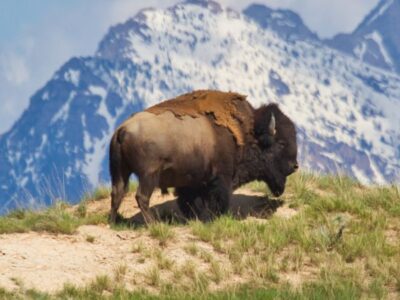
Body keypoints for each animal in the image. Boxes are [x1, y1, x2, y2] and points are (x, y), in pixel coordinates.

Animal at [108, 90, 296, 224]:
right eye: (281, 143)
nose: (294, 166)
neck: (246, 133)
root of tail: (122, 129)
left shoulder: (191, 183)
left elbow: (189, 202)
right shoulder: (221, 178)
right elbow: (216, 200)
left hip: (120, 172)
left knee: (117, 193)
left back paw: (114, 221)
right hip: (149, 175)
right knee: (141, 197)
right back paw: (152, 224)